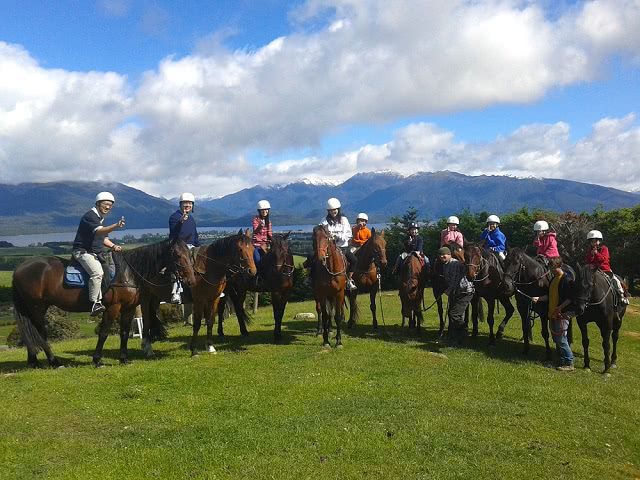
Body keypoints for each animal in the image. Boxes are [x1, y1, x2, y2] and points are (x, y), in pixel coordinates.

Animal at [11, 240, 194, 368]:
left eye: (189, 253)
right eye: (178, 255)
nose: (191, 278)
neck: (127, 272)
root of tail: (19, 268)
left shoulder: (128, 308)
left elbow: (124, 333)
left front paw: (124, 359)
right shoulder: (113, 307)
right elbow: (104, 332)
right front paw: (97, 360)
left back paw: (34, 361)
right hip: (37, 308)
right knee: (40, 333)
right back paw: (54, 362)